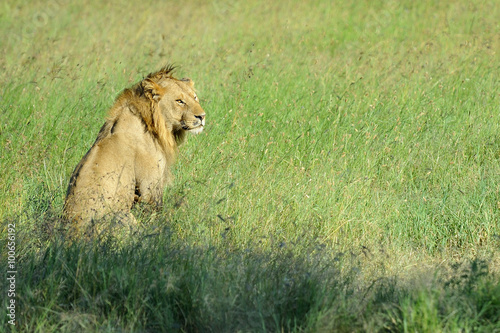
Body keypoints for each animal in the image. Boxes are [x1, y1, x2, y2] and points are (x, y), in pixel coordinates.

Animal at [64, 65, 205, 235]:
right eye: (179, 101)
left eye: (195, 98)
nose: (202, 116)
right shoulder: (149, 185)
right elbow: (155, 215)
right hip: (121, 215)